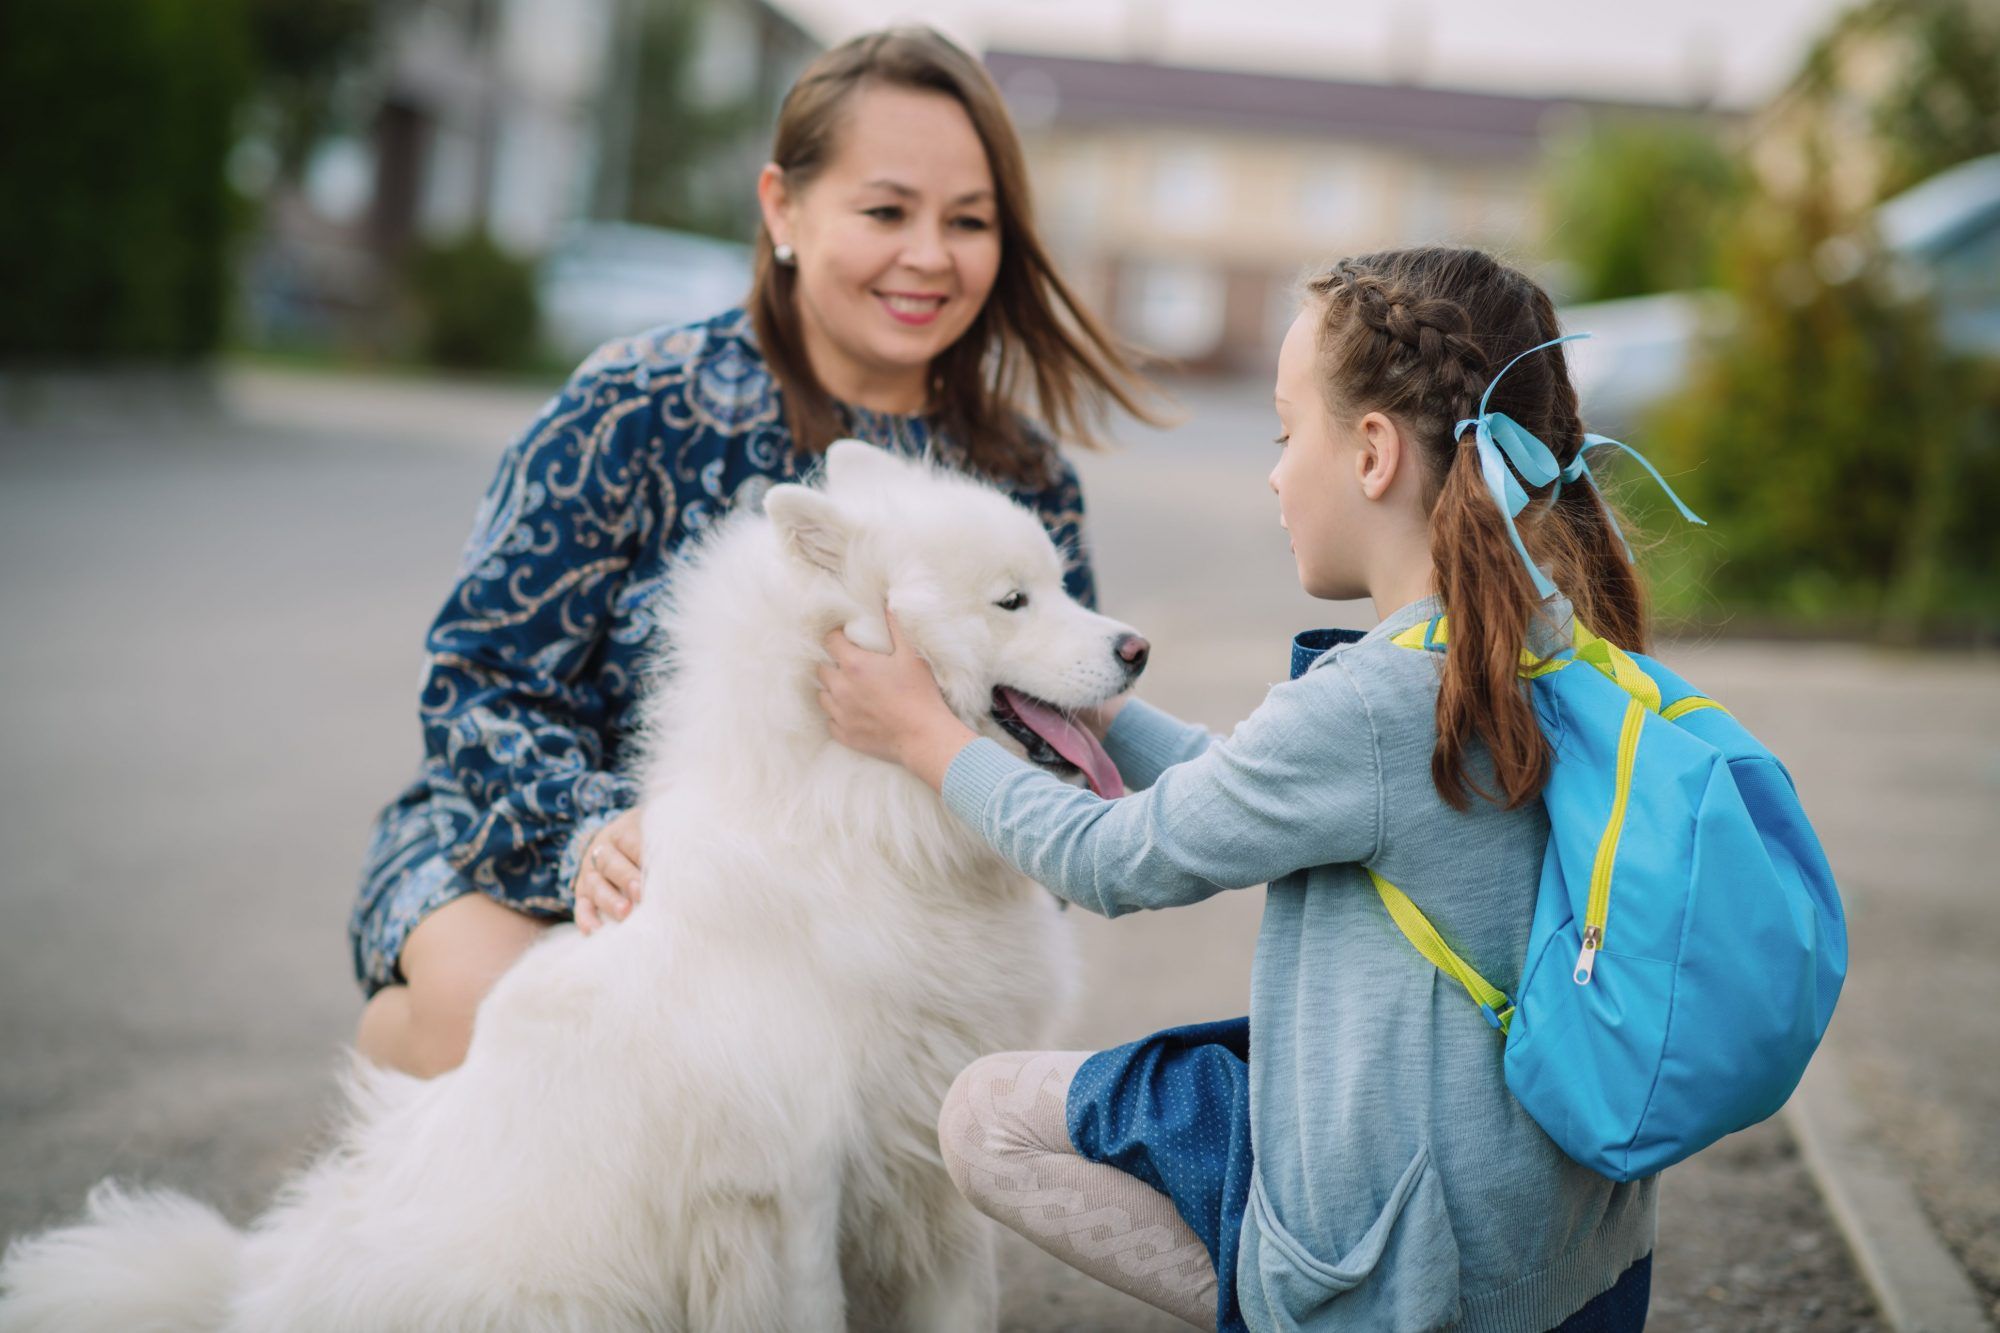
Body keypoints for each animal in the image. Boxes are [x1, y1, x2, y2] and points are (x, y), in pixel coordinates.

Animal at [0, 440, 1152, 1328]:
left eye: (1059, 581)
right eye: (1011, 600)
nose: (1138, 647)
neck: (859, 822)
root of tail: (260, 1293)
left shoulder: (927, 1154)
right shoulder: (787, 1189)